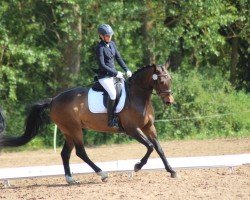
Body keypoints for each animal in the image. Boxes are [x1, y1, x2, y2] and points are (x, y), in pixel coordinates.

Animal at [0, 63, 177, 184]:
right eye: (161, 81)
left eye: (170, 79)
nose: (169, 101)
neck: (138, 96)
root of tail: (53, 100)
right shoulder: (132, 129)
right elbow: (150, 147)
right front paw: (137, 167)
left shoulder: (149, 127)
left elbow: (159, 148)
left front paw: (172, 171)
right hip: (74, 129)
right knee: (80, 152)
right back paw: (102, 174)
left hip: (68, 131)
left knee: (65, 153)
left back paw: (70, 179)